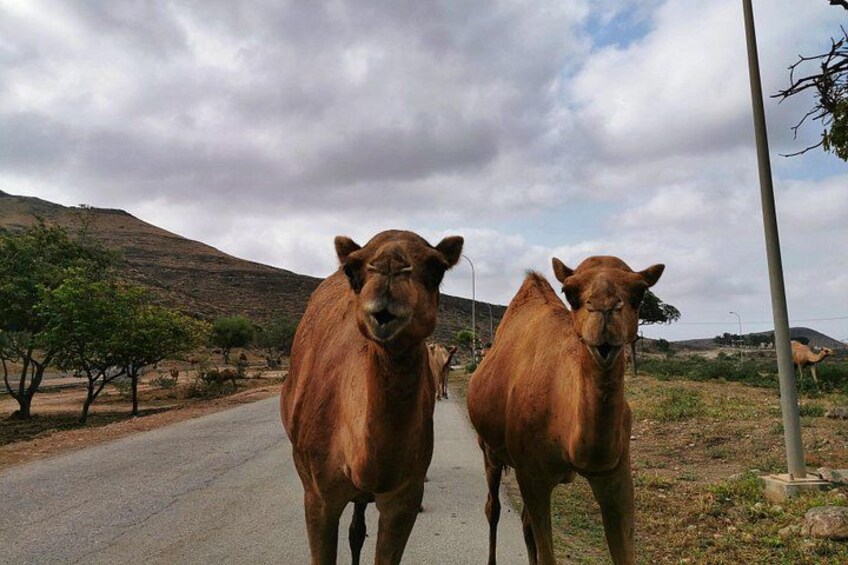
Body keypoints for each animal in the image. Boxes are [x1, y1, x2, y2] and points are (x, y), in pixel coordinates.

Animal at [280, 230, 463, 565]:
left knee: (357, 528)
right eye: (352, 270)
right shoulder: (318, 497)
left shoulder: (403, 499)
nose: (390, 267)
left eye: (438, 269)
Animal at [467, 256, 664, 565]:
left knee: (524, 522)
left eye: (640, 292)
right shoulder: (532, 475)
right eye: (570, 293)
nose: (605, 311)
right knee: (493, 507)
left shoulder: (617, 474)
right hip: (489, 449)